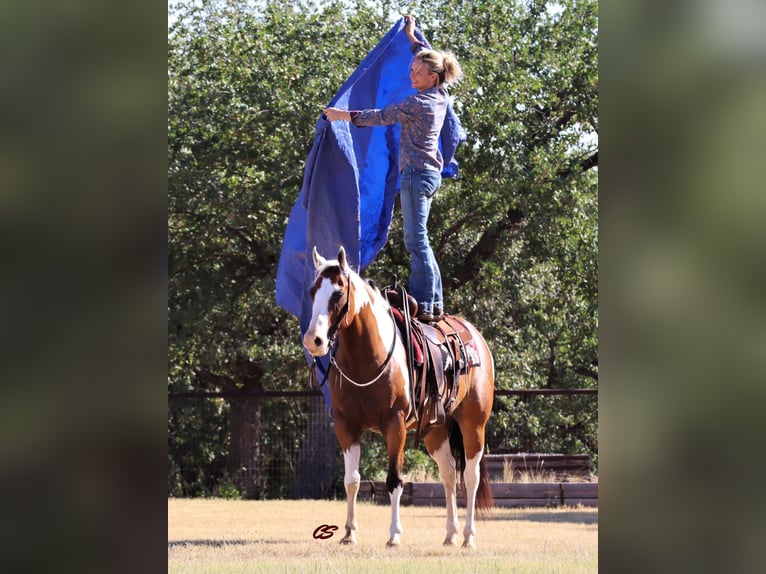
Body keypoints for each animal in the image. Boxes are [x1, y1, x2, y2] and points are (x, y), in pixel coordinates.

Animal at [304, 246, 496, 548]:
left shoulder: (395, 426)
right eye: (313, 291)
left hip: (473, 424)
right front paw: (349, 532)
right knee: (449, 474)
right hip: (436, 430)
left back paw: (468, 536)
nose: (314, 340)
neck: (368, 358)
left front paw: (394, 535)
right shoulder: (346, 426)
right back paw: (450, 534)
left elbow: (394, 480)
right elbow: (351, 480)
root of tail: (475, 337)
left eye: (338, 293)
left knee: (470, 477)